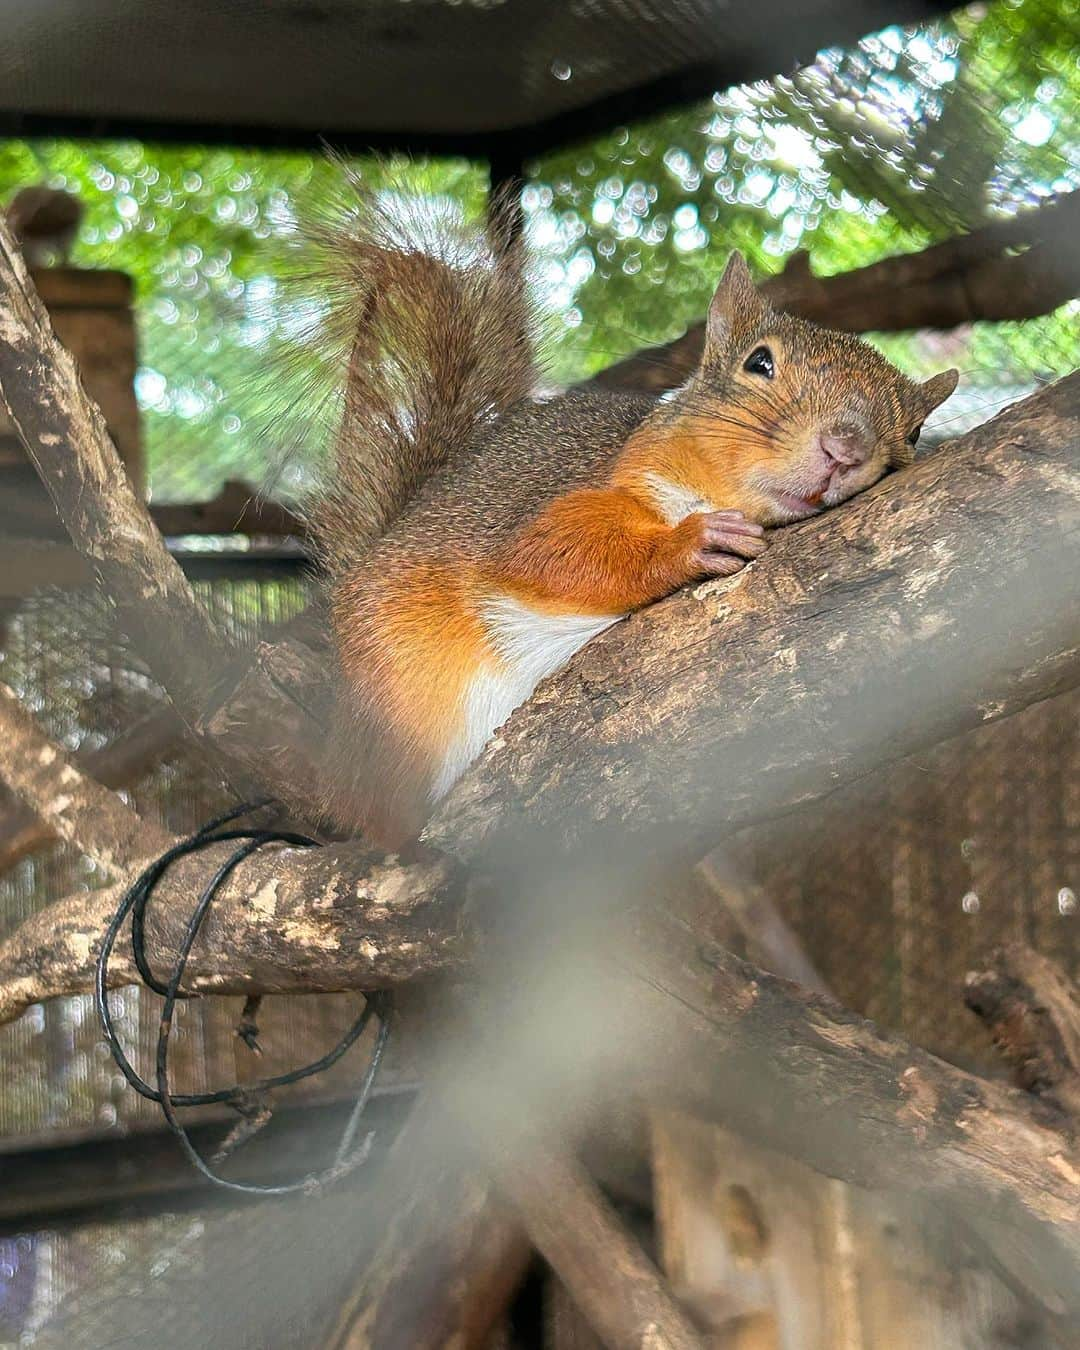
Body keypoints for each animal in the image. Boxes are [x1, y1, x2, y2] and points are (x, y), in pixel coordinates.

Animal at [301, 179, 955, 842]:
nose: (845, 449)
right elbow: (544, 553)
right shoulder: (573, 494)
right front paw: (690, 544)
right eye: (759, 362)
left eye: (914, 431)